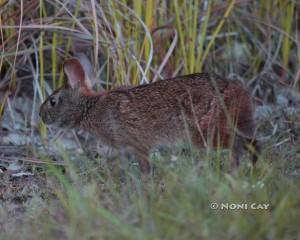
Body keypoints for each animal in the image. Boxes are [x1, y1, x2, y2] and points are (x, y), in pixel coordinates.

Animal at [39, 58, 258, 172]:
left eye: (53, 101)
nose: (41, 116)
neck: (89, 107)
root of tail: (235, 91)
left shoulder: (136, 143)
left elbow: (144, 163)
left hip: (204, 131)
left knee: (236, 144)